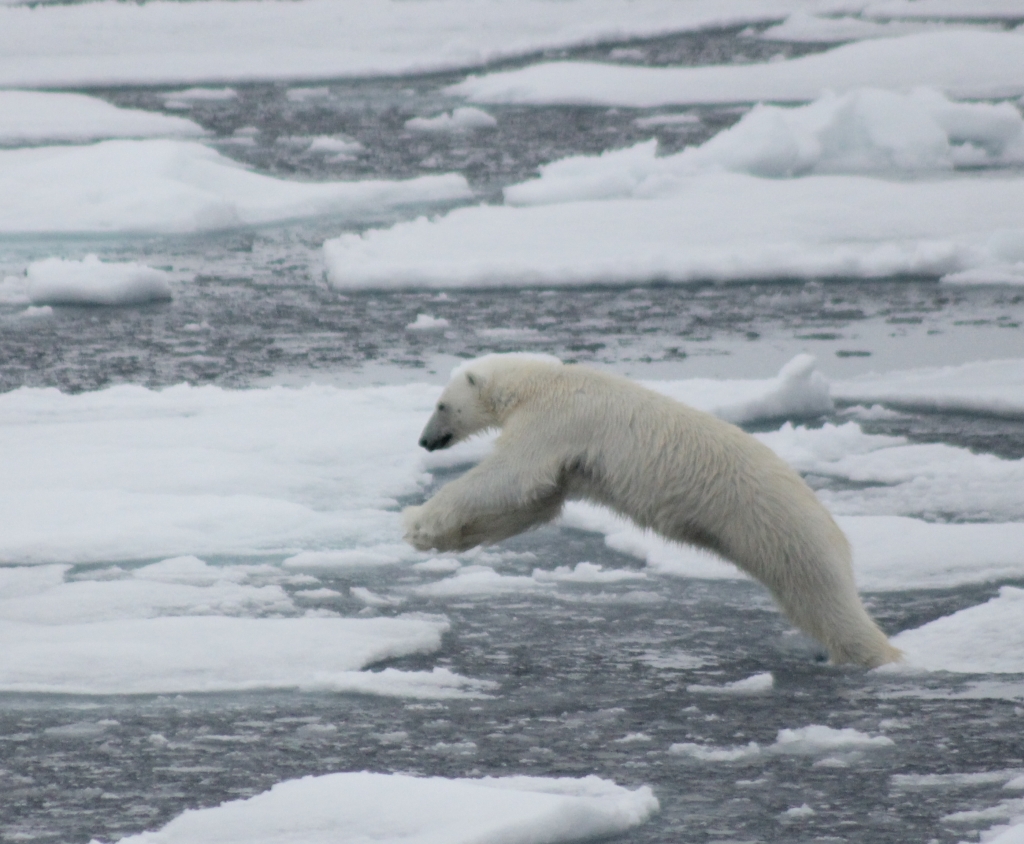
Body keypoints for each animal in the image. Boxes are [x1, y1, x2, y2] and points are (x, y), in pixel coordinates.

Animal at [403, 350, 901, 667]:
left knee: (825, 601)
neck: (541, 383)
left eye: (441, 405)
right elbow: (536, 502)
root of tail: (836, 531)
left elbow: (510, 476)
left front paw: (417, 523)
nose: (424, 441)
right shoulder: (567, 454)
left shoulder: (556, 421)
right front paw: (442, 538)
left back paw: (879, 655)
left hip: (780, 531)